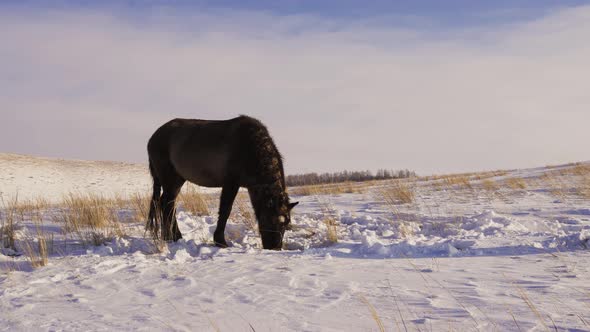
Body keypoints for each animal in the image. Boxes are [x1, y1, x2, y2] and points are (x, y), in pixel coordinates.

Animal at [146, 115, 298, 250]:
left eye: (286, 224)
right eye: (270, 219)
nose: (275, 248)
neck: (250, 147)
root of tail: (153, 138)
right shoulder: (231, 183)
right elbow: (225, 210)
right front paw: (220, 241)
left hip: (177, 180)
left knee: (165, 204)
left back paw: (168, 236)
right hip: (170, 179)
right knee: (167, 205)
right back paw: (175, 236)